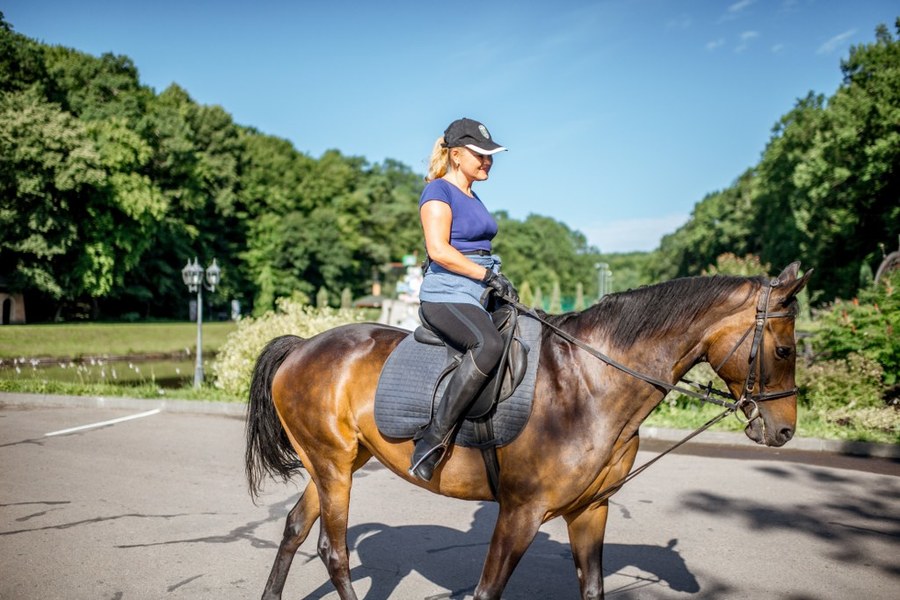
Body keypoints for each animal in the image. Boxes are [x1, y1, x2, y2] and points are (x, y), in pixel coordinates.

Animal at [243, 264, 812, 600]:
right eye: (786, 349)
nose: (784, 430)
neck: (590, 382)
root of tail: (302, 346)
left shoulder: (591, 510)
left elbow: (592, 590)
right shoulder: (520, 514)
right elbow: (486, 593)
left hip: (335, 464)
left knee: (294, 529)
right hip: (334, 467)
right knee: (333, 550)